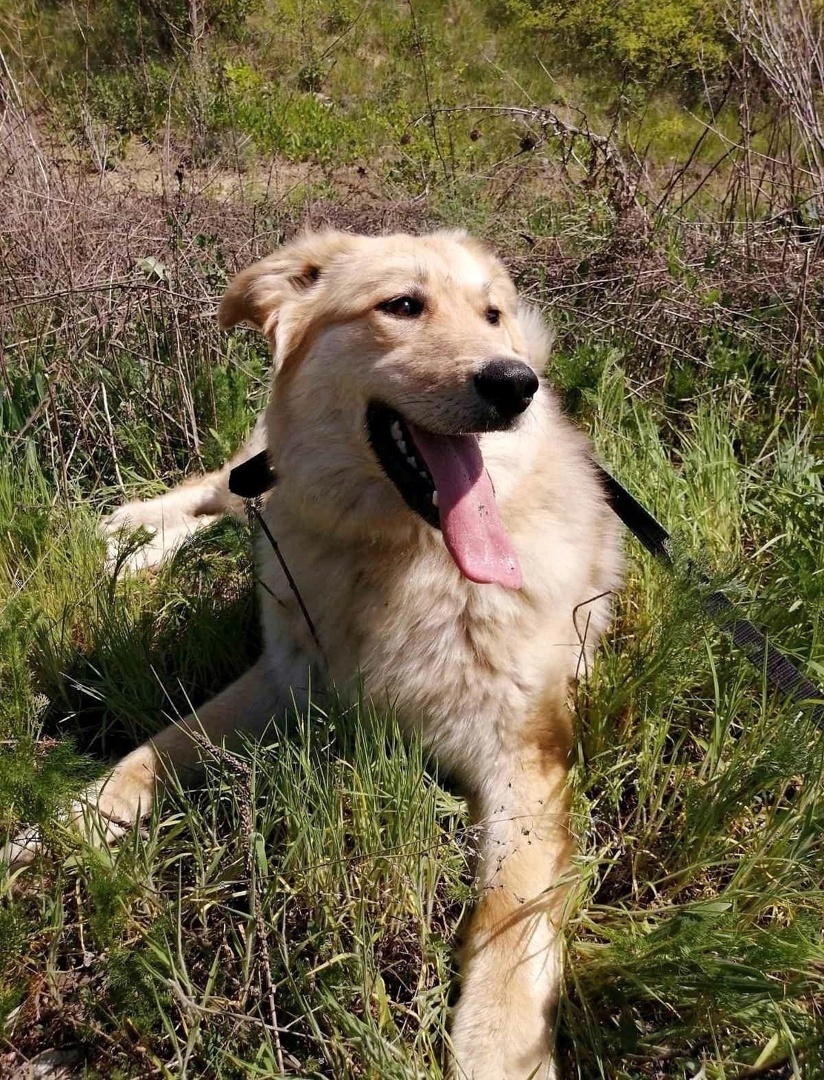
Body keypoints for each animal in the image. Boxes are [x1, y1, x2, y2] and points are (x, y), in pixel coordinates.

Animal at [12, 229, 622, 1078]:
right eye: (404, 304)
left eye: (493, 314)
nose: (515, 383)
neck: (402, 560)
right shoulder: (278, 680)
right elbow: (145, 757)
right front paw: (57, 828)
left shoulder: (527, 757)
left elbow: (511, 911)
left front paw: (498, 1046)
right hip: (252, 480)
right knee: (226, 484)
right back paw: (133, 534)